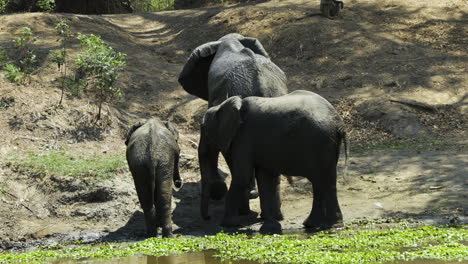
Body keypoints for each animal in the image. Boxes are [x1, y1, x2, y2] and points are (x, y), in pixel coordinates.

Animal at [203, 90, 350, 233]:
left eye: (204, 128)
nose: (207, 218)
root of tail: (339, 124)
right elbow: (264, 178)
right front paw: (270, 229)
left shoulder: (244, 138)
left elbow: (242, 176)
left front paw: (227, 225)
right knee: (322, 181)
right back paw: (315, 224)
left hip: (321, 143)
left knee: (324, 180)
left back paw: (332, 226)